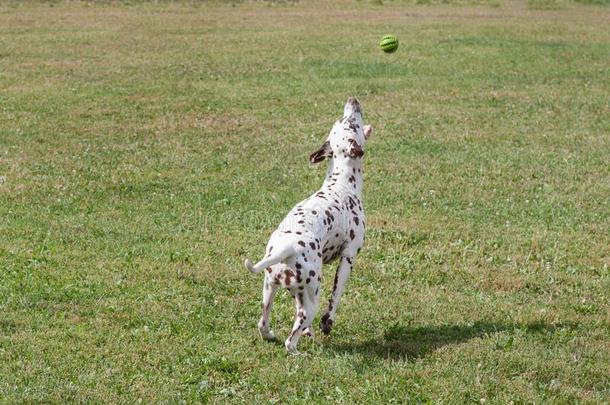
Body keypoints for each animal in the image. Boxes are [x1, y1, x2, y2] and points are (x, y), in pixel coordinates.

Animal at [242, 96, 370, 352]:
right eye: (350, 122)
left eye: (343, 120)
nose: (352, 99)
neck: (341, 183)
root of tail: (285, 248)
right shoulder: (348, 258)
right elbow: (335, 299)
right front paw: (327, 323)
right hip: (311, 299)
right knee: (290, 342)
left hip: (270, 289)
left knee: (263, 323)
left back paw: (271, 334)